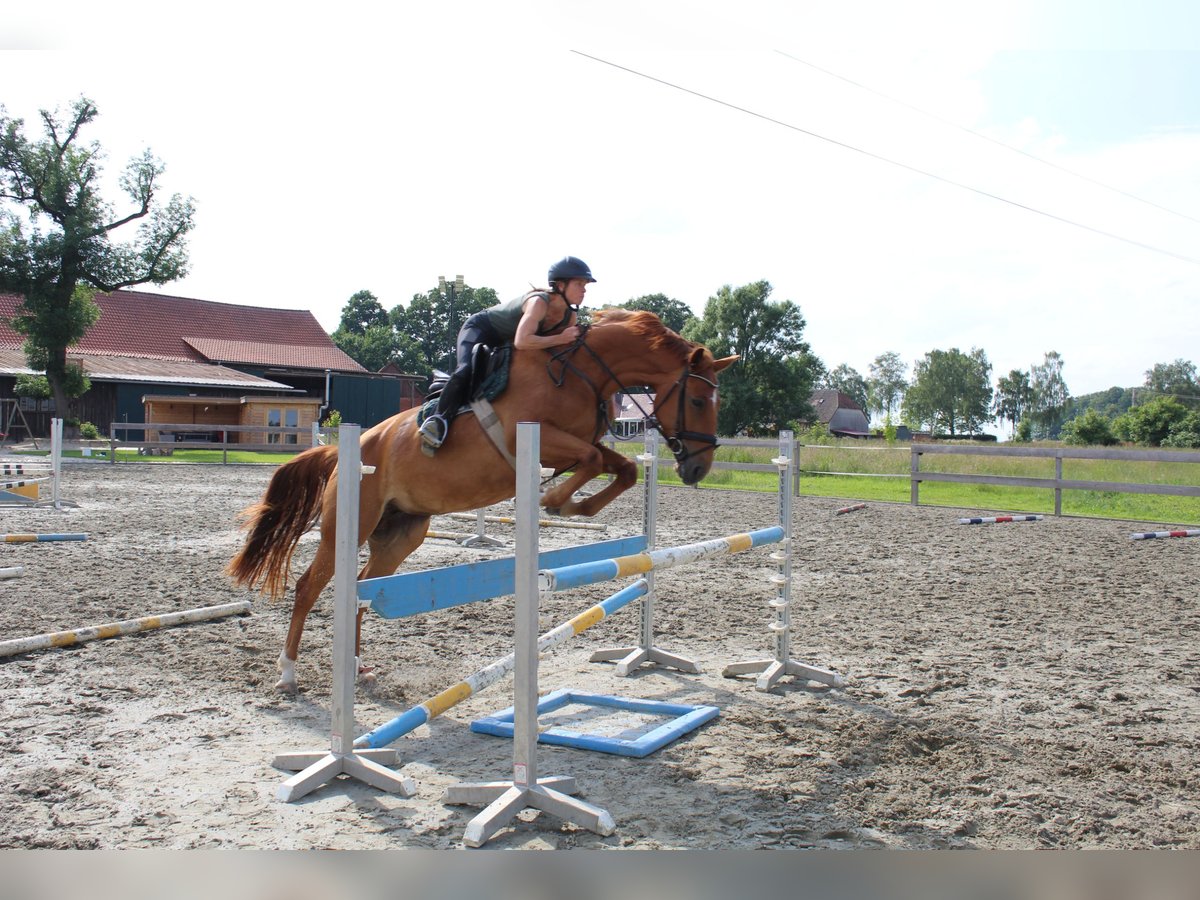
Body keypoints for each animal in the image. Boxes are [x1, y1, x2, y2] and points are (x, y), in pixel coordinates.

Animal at [222, 307, 734, 696]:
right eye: (696, 399)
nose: (698, 469)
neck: (582, 372)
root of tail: (347, 448)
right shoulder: (533, 438)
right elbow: (591, 460)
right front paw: (554, 499)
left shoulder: (582, 443)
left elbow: (622, 467)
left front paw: (574, 507)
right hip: (349, 525)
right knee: (310, 586)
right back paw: (288, 674)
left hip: (402, 533)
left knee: (364, 590)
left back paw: (357, 667)